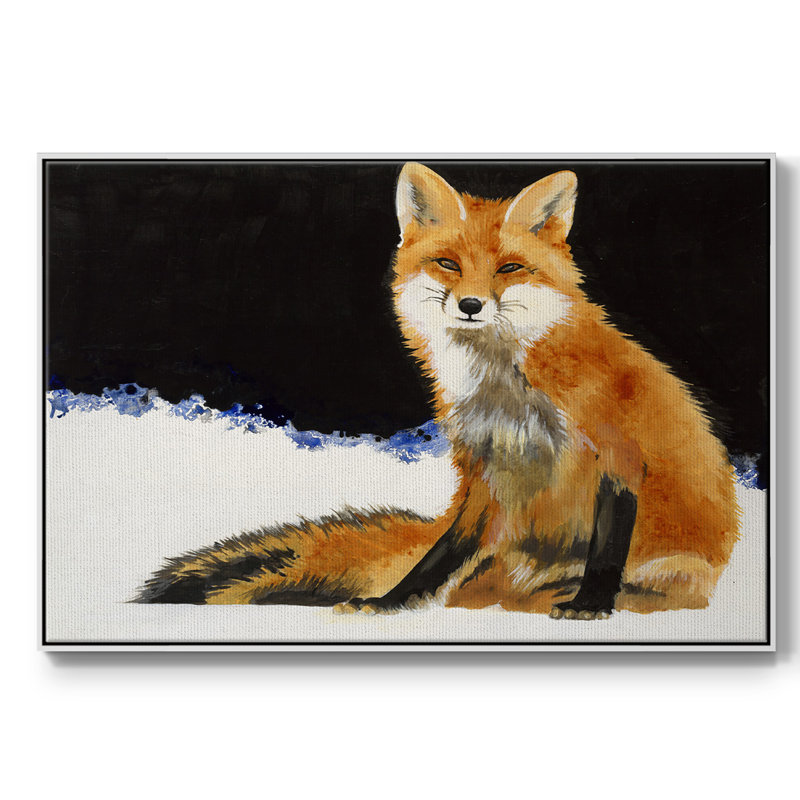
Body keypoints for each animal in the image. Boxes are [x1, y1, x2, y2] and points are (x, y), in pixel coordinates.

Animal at [137, 163, 740, 619]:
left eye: (510, 268)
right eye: (448, 263)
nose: (471, 305)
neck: (507, 389)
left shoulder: (617, 452)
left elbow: (607, 546)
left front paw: (591, 604)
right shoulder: (483, 469)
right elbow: (440, 555)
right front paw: (391, 601)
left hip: (676, 571)